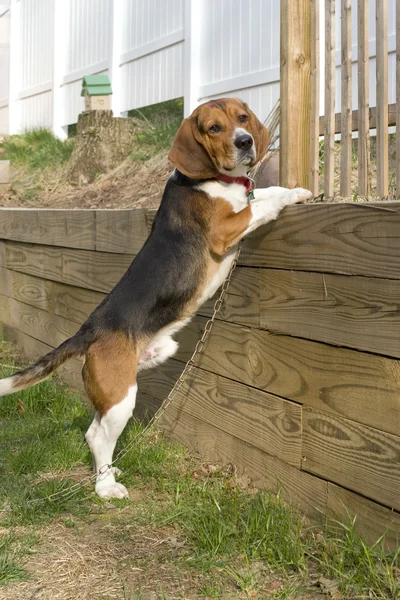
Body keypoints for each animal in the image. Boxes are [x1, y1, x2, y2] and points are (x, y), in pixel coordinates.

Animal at [0, 98, 312, 496]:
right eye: (213, 128)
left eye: (242, 118)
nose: (244, 141)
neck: (215, 179)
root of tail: (88, 330)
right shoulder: (226, 229)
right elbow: (260, 204)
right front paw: (293, 194)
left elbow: (263, 195)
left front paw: (296, 189)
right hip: (121, 397)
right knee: (97, 437)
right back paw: (107, 489)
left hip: (130, 378)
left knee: (93, 431)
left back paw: (109, 473)